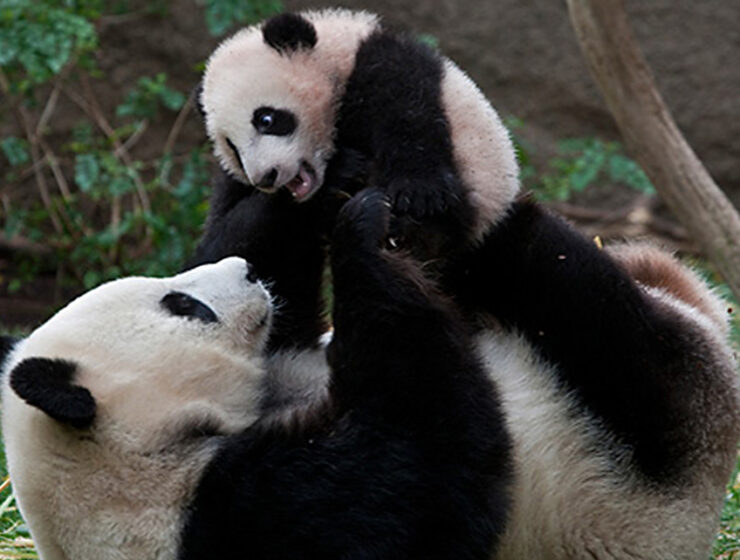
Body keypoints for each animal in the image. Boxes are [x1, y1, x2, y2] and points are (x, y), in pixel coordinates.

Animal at [197, 9, 520, 261]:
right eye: (232, 148)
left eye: (266, 119)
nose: (266, 177)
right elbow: (219, 247)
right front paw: (343, 172)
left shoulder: (384, 65)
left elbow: (408, 113)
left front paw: (418, 193)